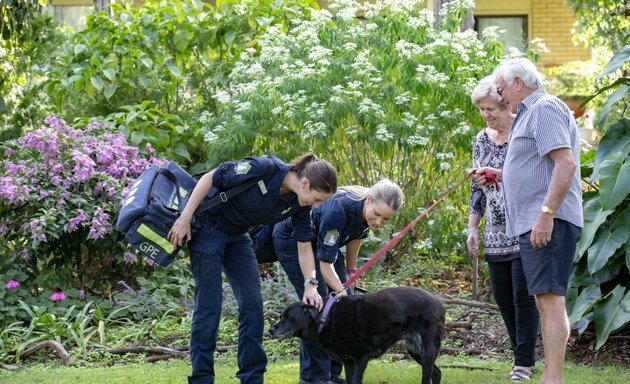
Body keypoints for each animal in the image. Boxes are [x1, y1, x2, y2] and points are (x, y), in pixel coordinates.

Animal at [270, 286, 446, 382]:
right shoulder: (348, 362)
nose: (271, 330)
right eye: (282, 316)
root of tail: (439, 301)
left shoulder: (361, 357)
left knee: (428, 376)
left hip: (428, 348)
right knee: (437, 373)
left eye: (288, 317)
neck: (325, 317)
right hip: (415, 350)